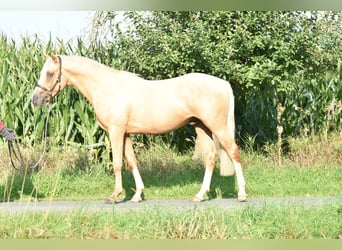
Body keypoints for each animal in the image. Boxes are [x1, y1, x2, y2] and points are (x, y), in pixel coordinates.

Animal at [31, 54, 246, 203]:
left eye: (50, 73)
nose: (35, 100)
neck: (106, 87)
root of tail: (223, 84)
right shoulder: (125, 133)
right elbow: (132, 161)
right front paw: (137, 195)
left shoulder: (116, 131)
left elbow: (118, 163)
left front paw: (115, 195)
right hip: (203, 127)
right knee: (210, 158)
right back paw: (200, 195)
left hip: (218, 127)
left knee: (233, 152)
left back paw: (242, 194)